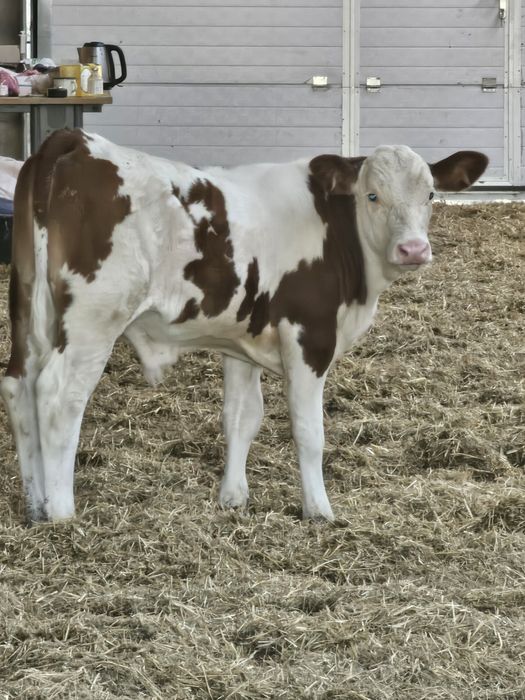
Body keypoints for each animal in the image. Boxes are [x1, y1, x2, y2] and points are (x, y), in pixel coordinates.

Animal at [0, 129, 487, 523]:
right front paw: (319, 510)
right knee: (59, 398)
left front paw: (232, 498)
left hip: (27, 311)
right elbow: (308, 431)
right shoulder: (309, 336)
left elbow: (240, 417)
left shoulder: (240, 339)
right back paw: (61, 512)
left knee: (19, 387)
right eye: (372, 196)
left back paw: (35, 505)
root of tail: (74, 140)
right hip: (92, 322)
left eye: (429, 195)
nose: (413, 249)